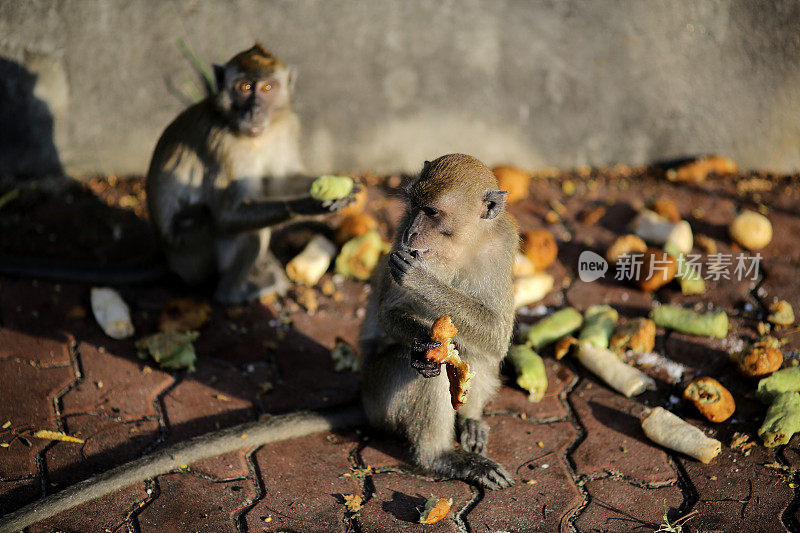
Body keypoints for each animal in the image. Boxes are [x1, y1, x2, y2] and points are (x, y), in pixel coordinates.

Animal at [358, 152, 520, 488]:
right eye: (413, 206)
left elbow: (496, 336)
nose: (411, 233)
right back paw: (439, 456)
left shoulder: (499, 249)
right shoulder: (398, 242)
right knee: (427, 371)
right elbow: (389, 314)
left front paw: (422, 280)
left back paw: (470, 421)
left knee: (475, 352)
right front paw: (422, 348)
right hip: (378, 393)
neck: (460, 249)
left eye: (432, 212)